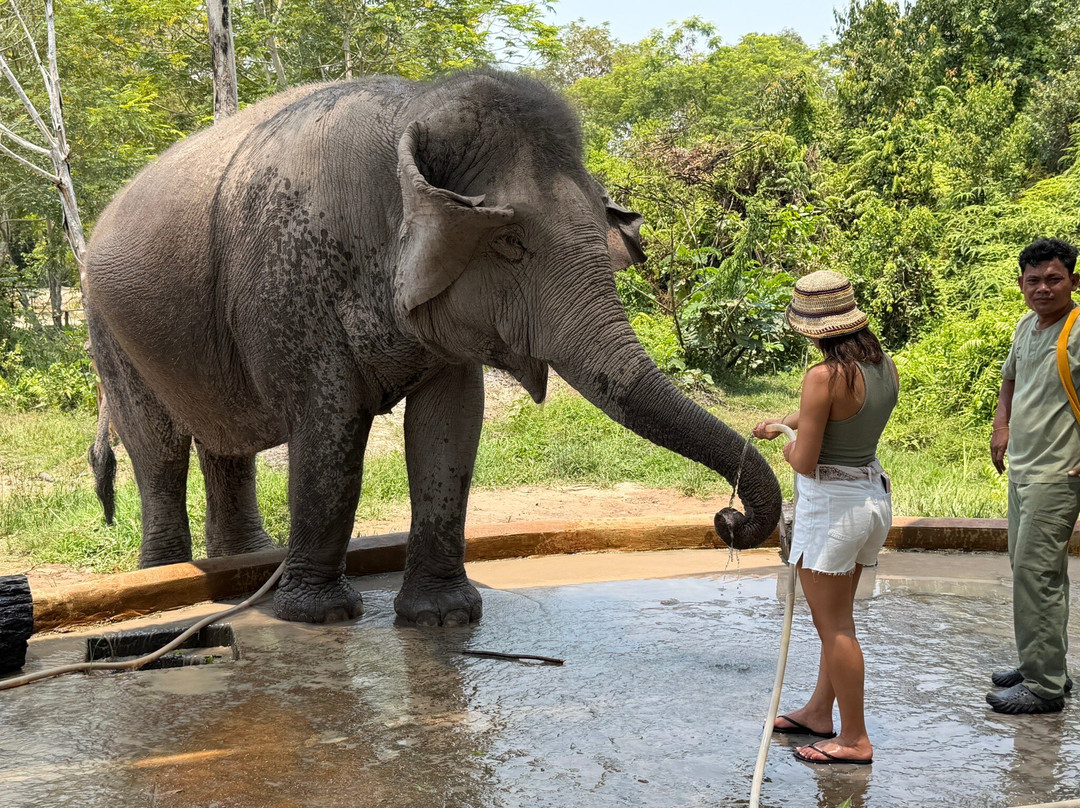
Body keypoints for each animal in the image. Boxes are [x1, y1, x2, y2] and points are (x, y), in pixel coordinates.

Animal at [84, 69, 781, 625]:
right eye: (510, 244)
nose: (727, 521)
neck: (416, 109)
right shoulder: (290, 295)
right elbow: (329, 430)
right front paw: (320, 615)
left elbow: (450, 423)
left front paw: (443, 618)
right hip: (107, 326)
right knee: (159, 452)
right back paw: (165, 578)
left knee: (225, 448)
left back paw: (243, 571)